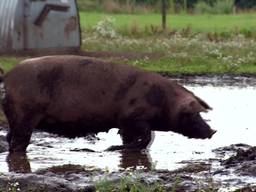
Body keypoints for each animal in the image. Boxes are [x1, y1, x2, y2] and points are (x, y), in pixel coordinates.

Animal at [0, 55, 216, 153]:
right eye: (193, 114)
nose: (212, 131)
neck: (164, 102)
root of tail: (7, 77)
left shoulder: (126, 124)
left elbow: (132, 138)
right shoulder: (131, 117)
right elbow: (145, 136)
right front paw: (112, 149)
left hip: (16, 119)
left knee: (10, 136)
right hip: (25, 115)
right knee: (18, 142)